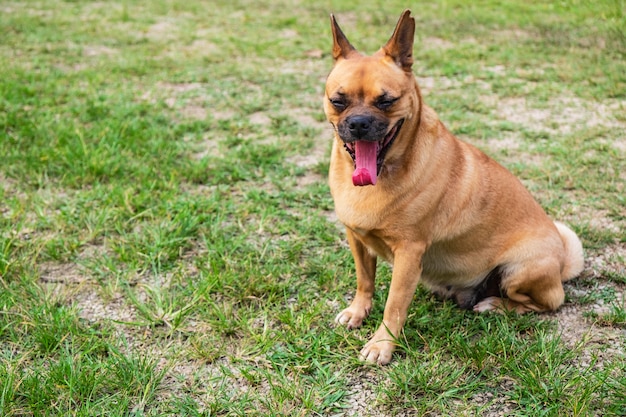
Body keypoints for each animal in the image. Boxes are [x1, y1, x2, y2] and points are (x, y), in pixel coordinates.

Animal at [324, 9, 584, 364]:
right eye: (338, 101)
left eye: (387, 101)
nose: (359, 123)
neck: (385, 170)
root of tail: (560, 262)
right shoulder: (357, 241)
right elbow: (365, 281)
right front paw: (357, 312)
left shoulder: (408, 255)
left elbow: (394, 305)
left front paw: (381, 345)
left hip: (519, 269)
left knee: (543, 304)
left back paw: (494, 305)